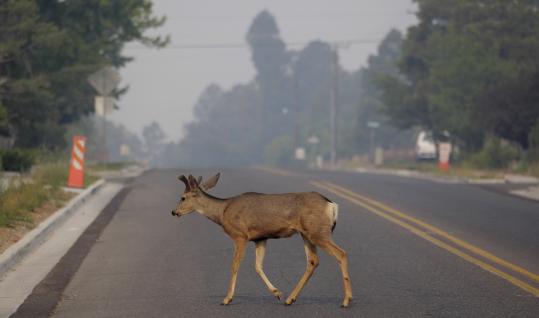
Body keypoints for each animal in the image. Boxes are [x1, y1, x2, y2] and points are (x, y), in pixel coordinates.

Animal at [171, 173, 352, 306]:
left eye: (183, 197)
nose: (174, 212)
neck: (222, 212)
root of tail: (331, 204)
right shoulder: (260, 238)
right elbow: (258, 266)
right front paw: (277, 293)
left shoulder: (240, 235)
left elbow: (235, 265)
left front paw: (227, 298)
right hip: (307, 234)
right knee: (313, 261)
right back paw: (290, 298)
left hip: (318, 232)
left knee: (341, 253)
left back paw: (346, 300)